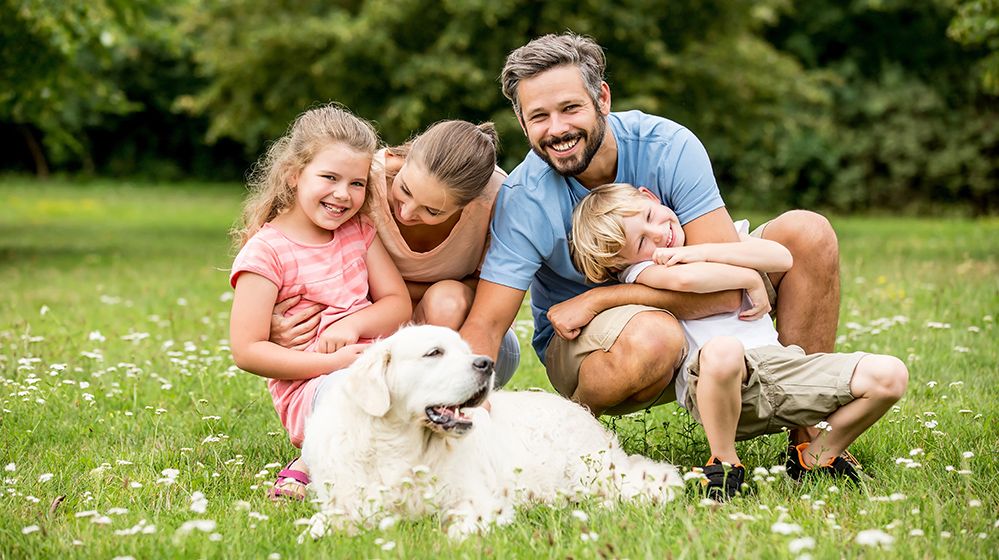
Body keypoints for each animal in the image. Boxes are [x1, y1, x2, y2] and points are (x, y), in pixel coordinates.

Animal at [300, 324, 684, 540]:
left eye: (467, 351)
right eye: (434, 352)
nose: (486, 363)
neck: (402, 447)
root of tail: (582, 412)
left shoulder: (477, 501)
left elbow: (456, 533)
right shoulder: (346, 502)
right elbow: (315, 529)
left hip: (589, 471)